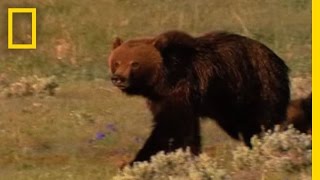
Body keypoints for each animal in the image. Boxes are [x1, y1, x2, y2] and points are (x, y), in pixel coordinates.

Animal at [107, 29, 290, 163]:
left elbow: (171, 128)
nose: (118, 78)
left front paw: (138, 160)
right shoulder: (160, 98)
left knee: (261, 121)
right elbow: (186, 132)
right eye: (117, 62)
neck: (163, 79)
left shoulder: (182, 88)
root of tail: (277, 59)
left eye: (135, 63)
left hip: (257, 84)